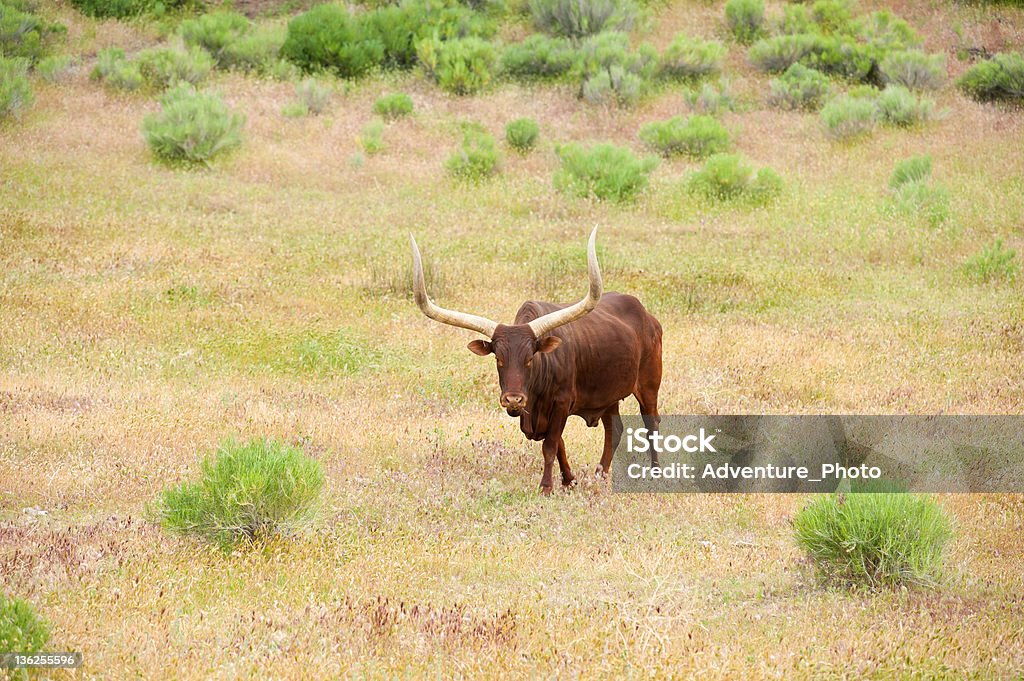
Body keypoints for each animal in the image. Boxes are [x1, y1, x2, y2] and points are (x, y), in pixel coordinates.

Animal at [413, 228, 663, 493]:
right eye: (498, 358)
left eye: (530, 358)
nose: (513, 399)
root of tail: (648, 316)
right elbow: (560, 444)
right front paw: (569, 480)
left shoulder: (561, 403)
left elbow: (551, 445)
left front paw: (546, 487)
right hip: (608, 393)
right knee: (613, 429)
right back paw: (601, 474)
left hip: (649, 384)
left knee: (651, 423)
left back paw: (655, 472)